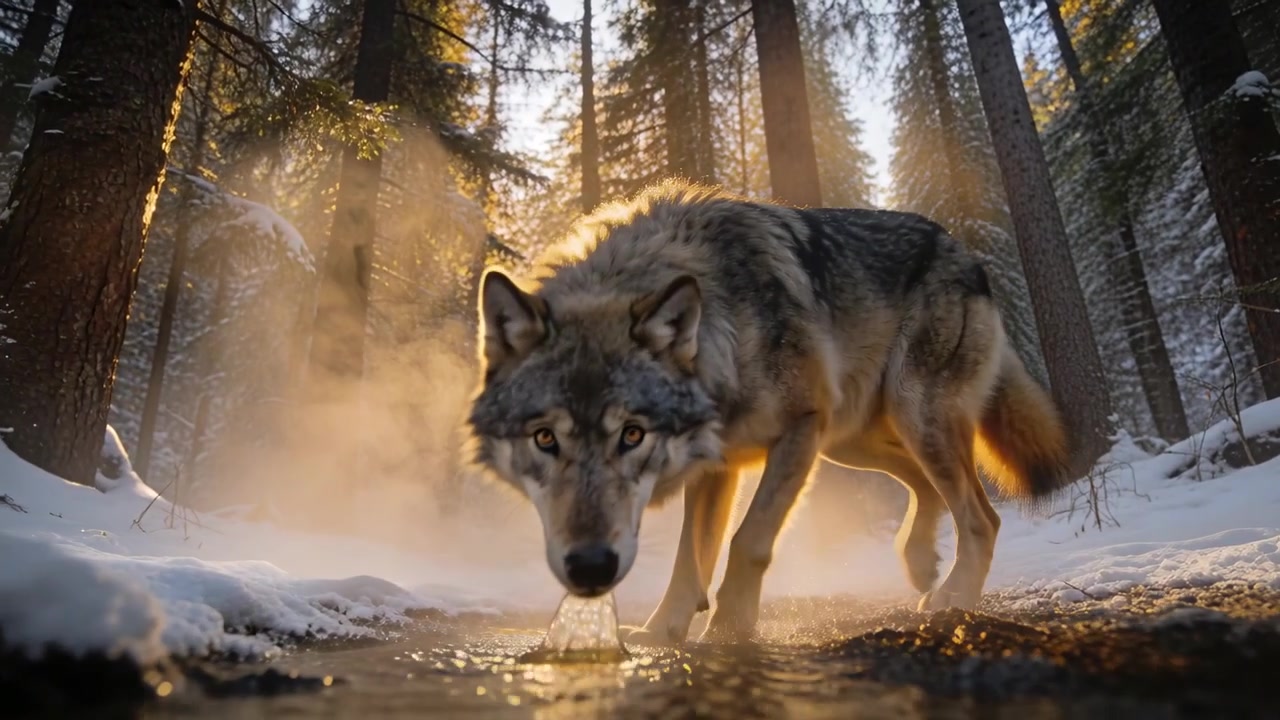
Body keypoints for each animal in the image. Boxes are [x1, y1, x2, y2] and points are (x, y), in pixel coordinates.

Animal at [466, 182, 1072, 644]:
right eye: (545, 439)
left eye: (632, 435)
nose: (590, 567)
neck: (724, 329)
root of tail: (967, 254)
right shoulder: (719, 464)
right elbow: (689, 559)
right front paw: (663, 632)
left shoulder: (797, 431)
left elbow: (747, 543)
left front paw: (730, 630)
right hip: (850, 441)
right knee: (926, 488)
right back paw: (920, 562)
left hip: (905, 418)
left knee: (982, 516)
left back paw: (952, 599)